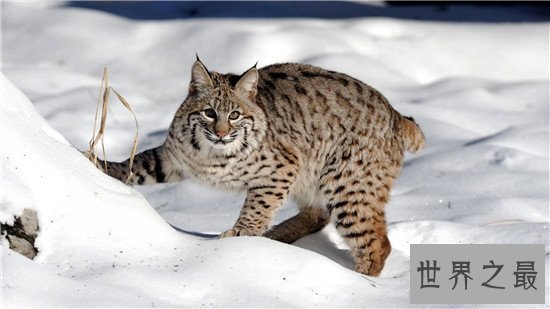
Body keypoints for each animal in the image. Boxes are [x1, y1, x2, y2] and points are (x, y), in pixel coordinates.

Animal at [95, 57, 424, 274]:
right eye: (209, 113)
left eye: (235, 115)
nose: (221, 133)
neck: (211, 152)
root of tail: (395, 113)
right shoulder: (174, 157)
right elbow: (137, 164)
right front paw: (98, 166)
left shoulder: (283, 167)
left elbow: (257, 206)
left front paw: (239, 238)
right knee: (318, 215)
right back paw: (277, 237)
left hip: (346, 183)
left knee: (378, 243)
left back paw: (358, 280)